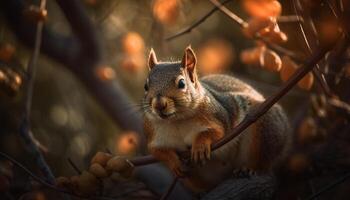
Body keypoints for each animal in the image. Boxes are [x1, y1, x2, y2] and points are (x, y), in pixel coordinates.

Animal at [142, 46, 290, 193]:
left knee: (261, 163)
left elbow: (218, 132)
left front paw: (200, 146)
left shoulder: (220, 118)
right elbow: (157, 151)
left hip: (264, 128)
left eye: (182, 83)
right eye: (146, 86)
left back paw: (248, 168)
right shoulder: (154, 135)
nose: (159, 105)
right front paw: (173, 162)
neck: (177, 120)